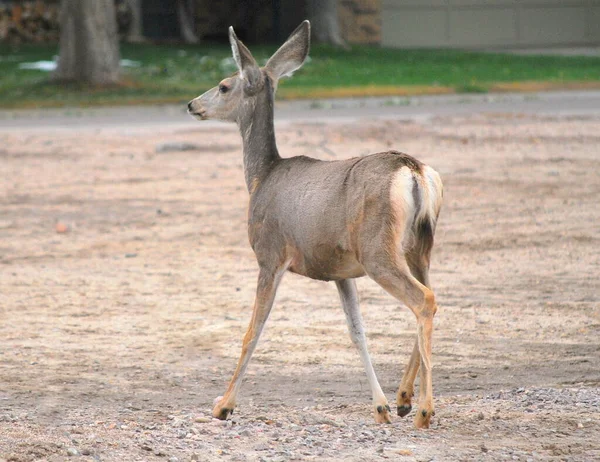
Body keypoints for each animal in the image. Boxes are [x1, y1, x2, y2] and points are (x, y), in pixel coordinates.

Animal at [185, 19, 442, 428]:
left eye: (224, 85)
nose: (192, 104)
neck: (261, 177)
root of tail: (414, 170)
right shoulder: (339, 270)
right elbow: (357, 331)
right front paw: (381, 406)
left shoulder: (270, 255)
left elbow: (252, 330)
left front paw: (223, 404)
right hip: (419, 247)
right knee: (431, 296)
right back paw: (404, 399)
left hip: (377, 250)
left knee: (424, 300)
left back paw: (424, 411)